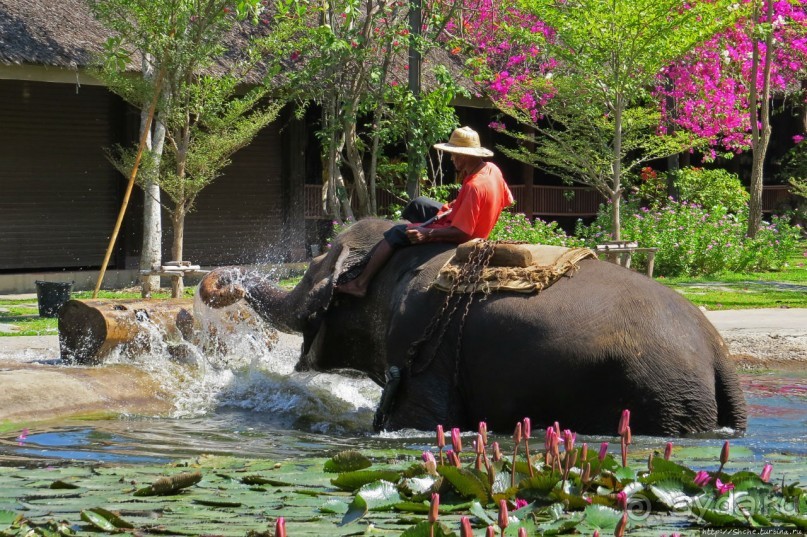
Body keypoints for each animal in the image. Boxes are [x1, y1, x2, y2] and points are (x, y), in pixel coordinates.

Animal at [199, 218, 748, 436]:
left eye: (317, 267)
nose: (219, 279)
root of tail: (718, 354)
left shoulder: (421, 340)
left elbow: (419, 421)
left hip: (657, 394)